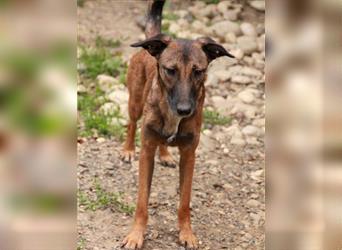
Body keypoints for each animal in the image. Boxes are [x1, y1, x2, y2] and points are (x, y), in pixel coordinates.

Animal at [119, 0, 232, 249]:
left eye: (199, 71)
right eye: (170, 70)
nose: (184, 110)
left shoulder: (189, 155)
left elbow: (184, 202)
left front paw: (186, 233)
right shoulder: (146, 152)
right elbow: (142, 202)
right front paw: (136, 235)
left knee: (163, 142)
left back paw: (166, 154)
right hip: (135, 102)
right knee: (131, 123)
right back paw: (128, 150)